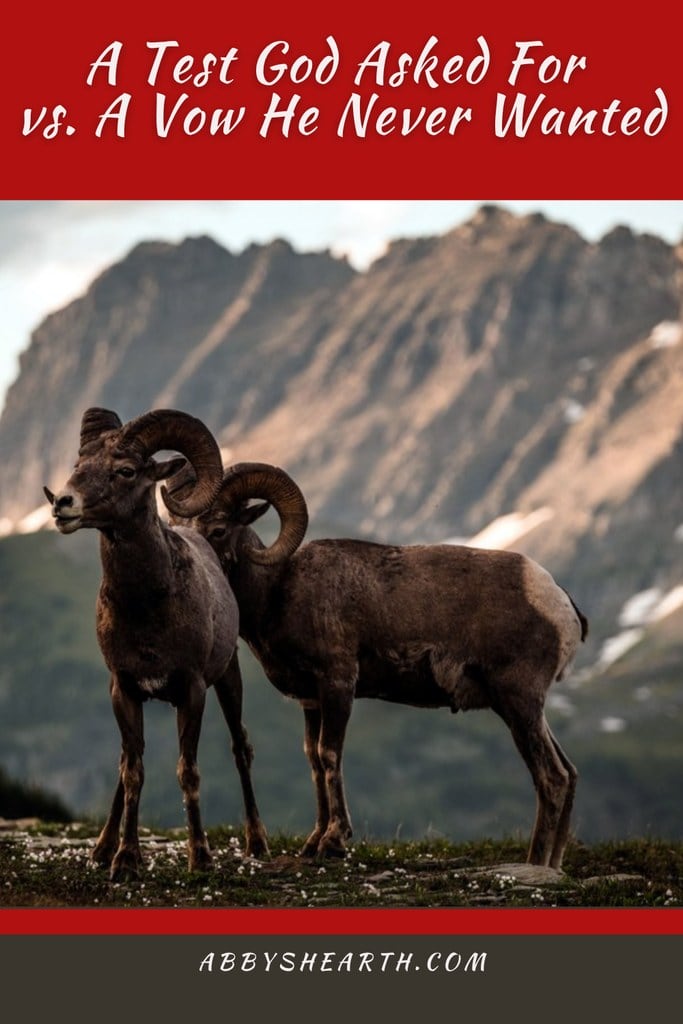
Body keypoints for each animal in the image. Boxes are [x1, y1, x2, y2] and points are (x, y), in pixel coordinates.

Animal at [44, 409, 268, 881]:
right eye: (79, 464)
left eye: (126, 471)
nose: (63, 504)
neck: (146, 608)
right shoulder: (125, 689)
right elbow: (133, 773)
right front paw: (124, 860)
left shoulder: (192, 691)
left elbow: (188, 771)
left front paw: (200, 857)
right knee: (125, 764)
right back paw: (101, 849)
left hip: (229, 680)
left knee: (241, 748)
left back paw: (257, 843)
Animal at [171, 461, 587, 869]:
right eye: (181, 526)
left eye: (219, 530)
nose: (198, 565)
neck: (278, 590)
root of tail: (560, 602)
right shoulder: (312, 701)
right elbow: (314, 761)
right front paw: (313, 843)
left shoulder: (338, 684)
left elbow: (330, 754)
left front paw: (334, 842)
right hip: (523, 709)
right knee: (568, 773)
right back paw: (552, 864)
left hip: (519, 703)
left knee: (551, 778)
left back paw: (536, 864)